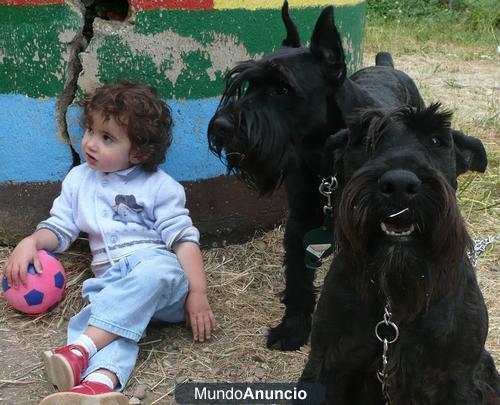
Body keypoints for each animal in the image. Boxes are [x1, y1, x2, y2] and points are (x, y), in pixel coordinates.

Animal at [207, 1, 426, 348]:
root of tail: (387, 65)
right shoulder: (301, 222)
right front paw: (293, 327)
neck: (326, 164)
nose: (222, 126)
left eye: (283, 88)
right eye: (249, 84)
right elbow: (298, 278)